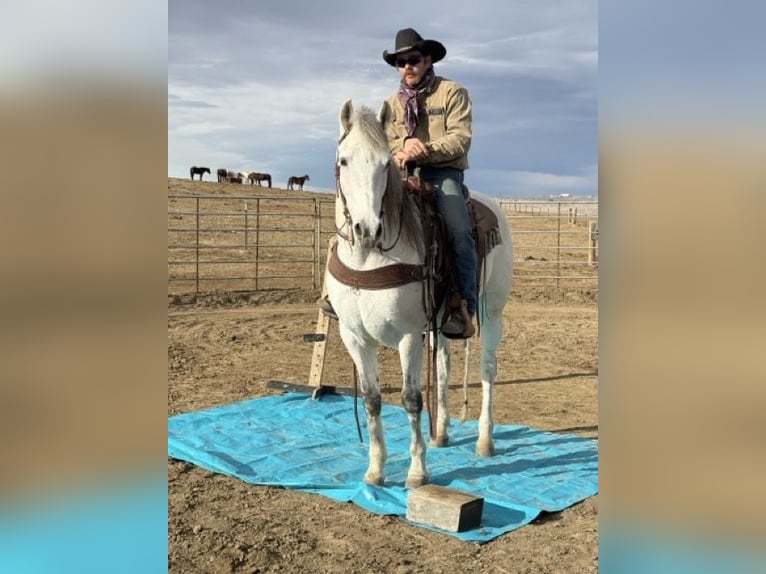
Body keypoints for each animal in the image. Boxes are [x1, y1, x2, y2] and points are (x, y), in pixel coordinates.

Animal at [326, 100, 516, 490]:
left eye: (386, 163)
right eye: (344, 161)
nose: (367, 229)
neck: (368, 258)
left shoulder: (409, 335)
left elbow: (411, 399)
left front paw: (416, 471)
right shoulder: (353, 337)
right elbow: (372, 399)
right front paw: (375, 470)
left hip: (492, 312)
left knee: (487, 369)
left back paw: (484, 440)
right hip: (442, 320)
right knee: (443, 364)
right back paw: (441, 432)